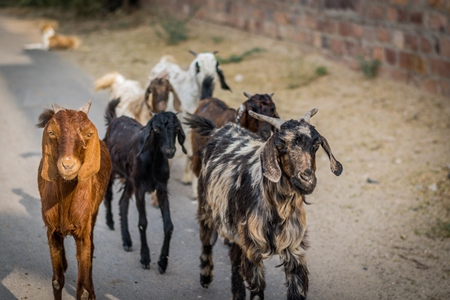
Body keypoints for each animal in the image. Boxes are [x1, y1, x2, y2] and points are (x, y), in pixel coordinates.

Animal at [37, 102, 112, 298]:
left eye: (88, 134)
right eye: (52, 133)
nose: (68, 165)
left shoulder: (83, 231)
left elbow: (82, 290)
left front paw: (89, 292)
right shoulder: (52, 231)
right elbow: (57, 281)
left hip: (94, 214)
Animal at [103, 98, 186, 272]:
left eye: (176, 128)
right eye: (156, 129)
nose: (170, 151)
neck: (153, 159)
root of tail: (114, 120)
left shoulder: (161, 188)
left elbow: (169, 225)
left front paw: (163, 262)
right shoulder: (140, 188)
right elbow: (143, 223)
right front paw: (145, 258)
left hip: (130, 180)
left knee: (123, 202)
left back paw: (127, 241)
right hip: (112, 169)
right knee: (108, 195)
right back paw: (110, 222)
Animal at [185, 108, 342, 300]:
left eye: (316, 144)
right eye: (281, 145)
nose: (307, 179)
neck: (278, 208)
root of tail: (218, 130)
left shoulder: (294, 249)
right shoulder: (253, 250)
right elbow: (257, 289)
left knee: (234, 259)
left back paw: (237, 293)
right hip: (206, 208)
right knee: (206, 241)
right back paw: (205, 277)